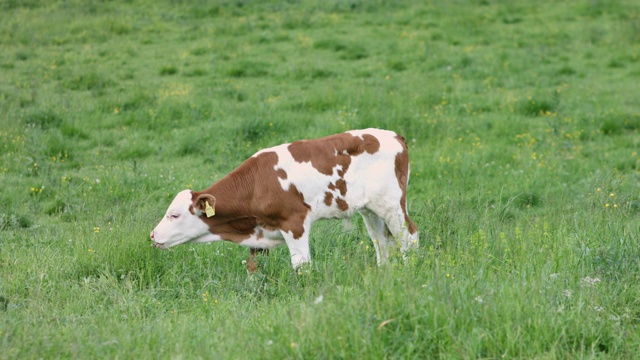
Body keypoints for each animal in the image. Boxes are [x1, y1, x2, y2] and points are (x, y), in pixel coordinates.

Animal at [151, 128, 420, 268]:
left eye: (174, 215)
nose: (152, 235)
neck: (257, 184)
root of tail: (394, 135)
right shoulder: (258, 234)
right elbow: (254, 269)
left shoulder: (295, 223)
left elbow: (301, 265)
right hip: (370, 210)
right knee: (381, 241)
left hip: (393, 205)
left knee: (409, 236)